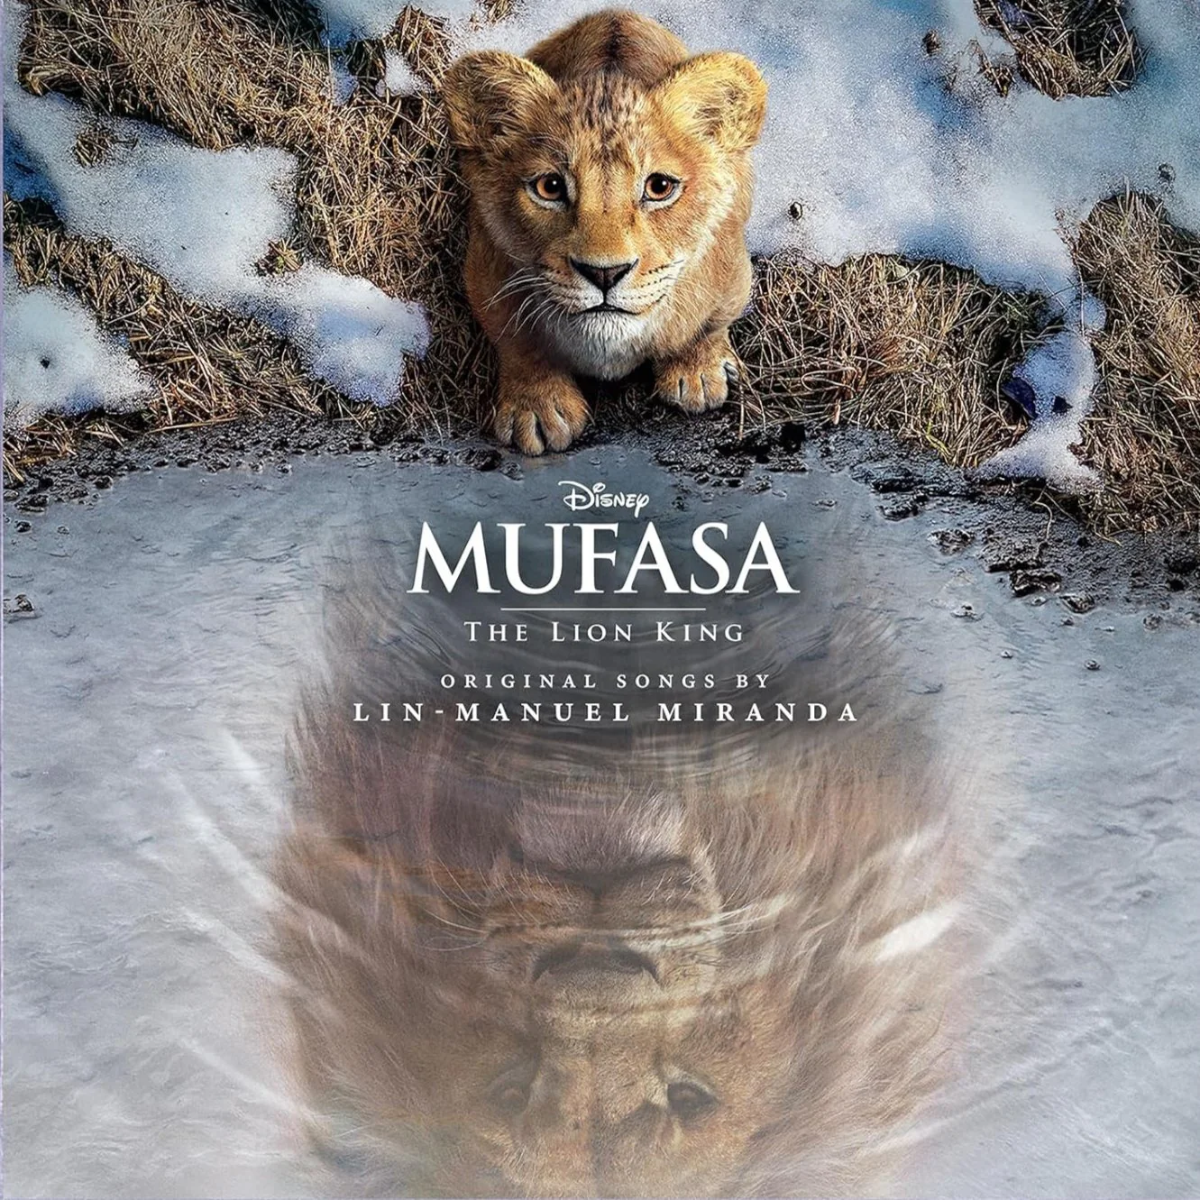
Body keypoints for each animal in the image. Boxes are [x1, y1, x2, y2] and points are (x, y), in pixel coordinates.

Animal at [442, 10, 767, 455]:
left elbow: (708, 324)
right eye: (550, 187)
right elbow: (517, 341)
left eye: (659, 187)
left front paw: (698, 373)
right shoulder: (485, 271)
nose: (604, 273)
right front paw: (537, 408)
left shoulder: (732, 271)